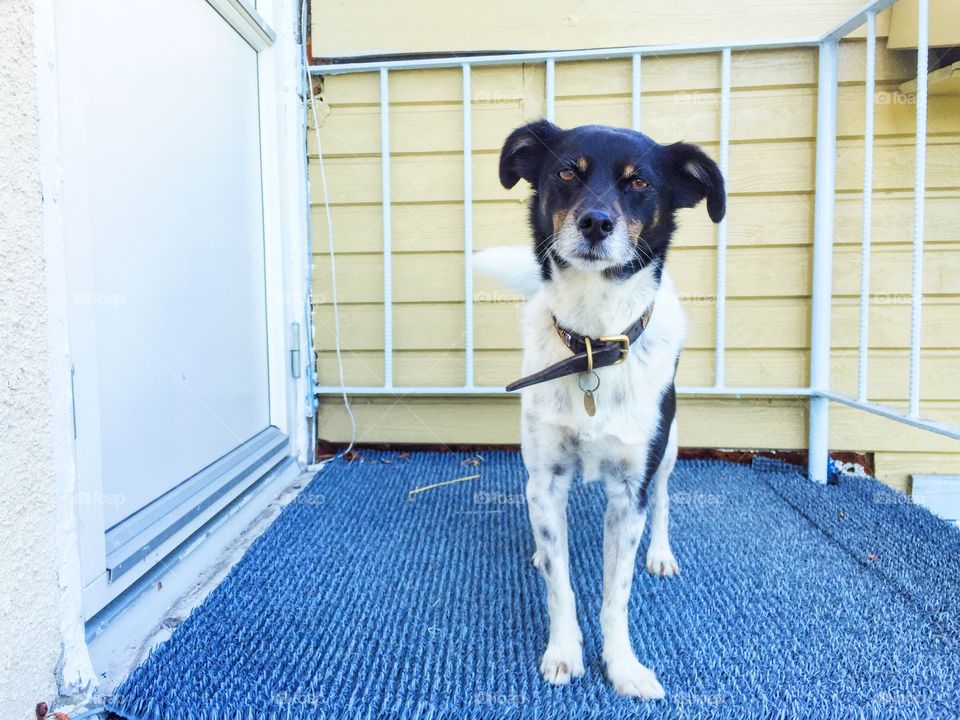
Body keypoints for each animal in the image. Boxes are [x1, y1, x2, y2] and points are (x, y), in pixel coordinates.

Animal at [476, 122, 724, 696]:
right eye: (568, 171)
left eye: (640, 183)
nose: (595, 223)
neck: (593, 341)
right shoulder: (545, 479)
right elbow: (560, 585)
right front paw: (565, 652)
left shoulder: (630, 490)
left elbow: (617, 593)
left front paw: (623, 666)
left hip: (668, 449)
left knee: (663, 500)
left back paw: (660, 554)